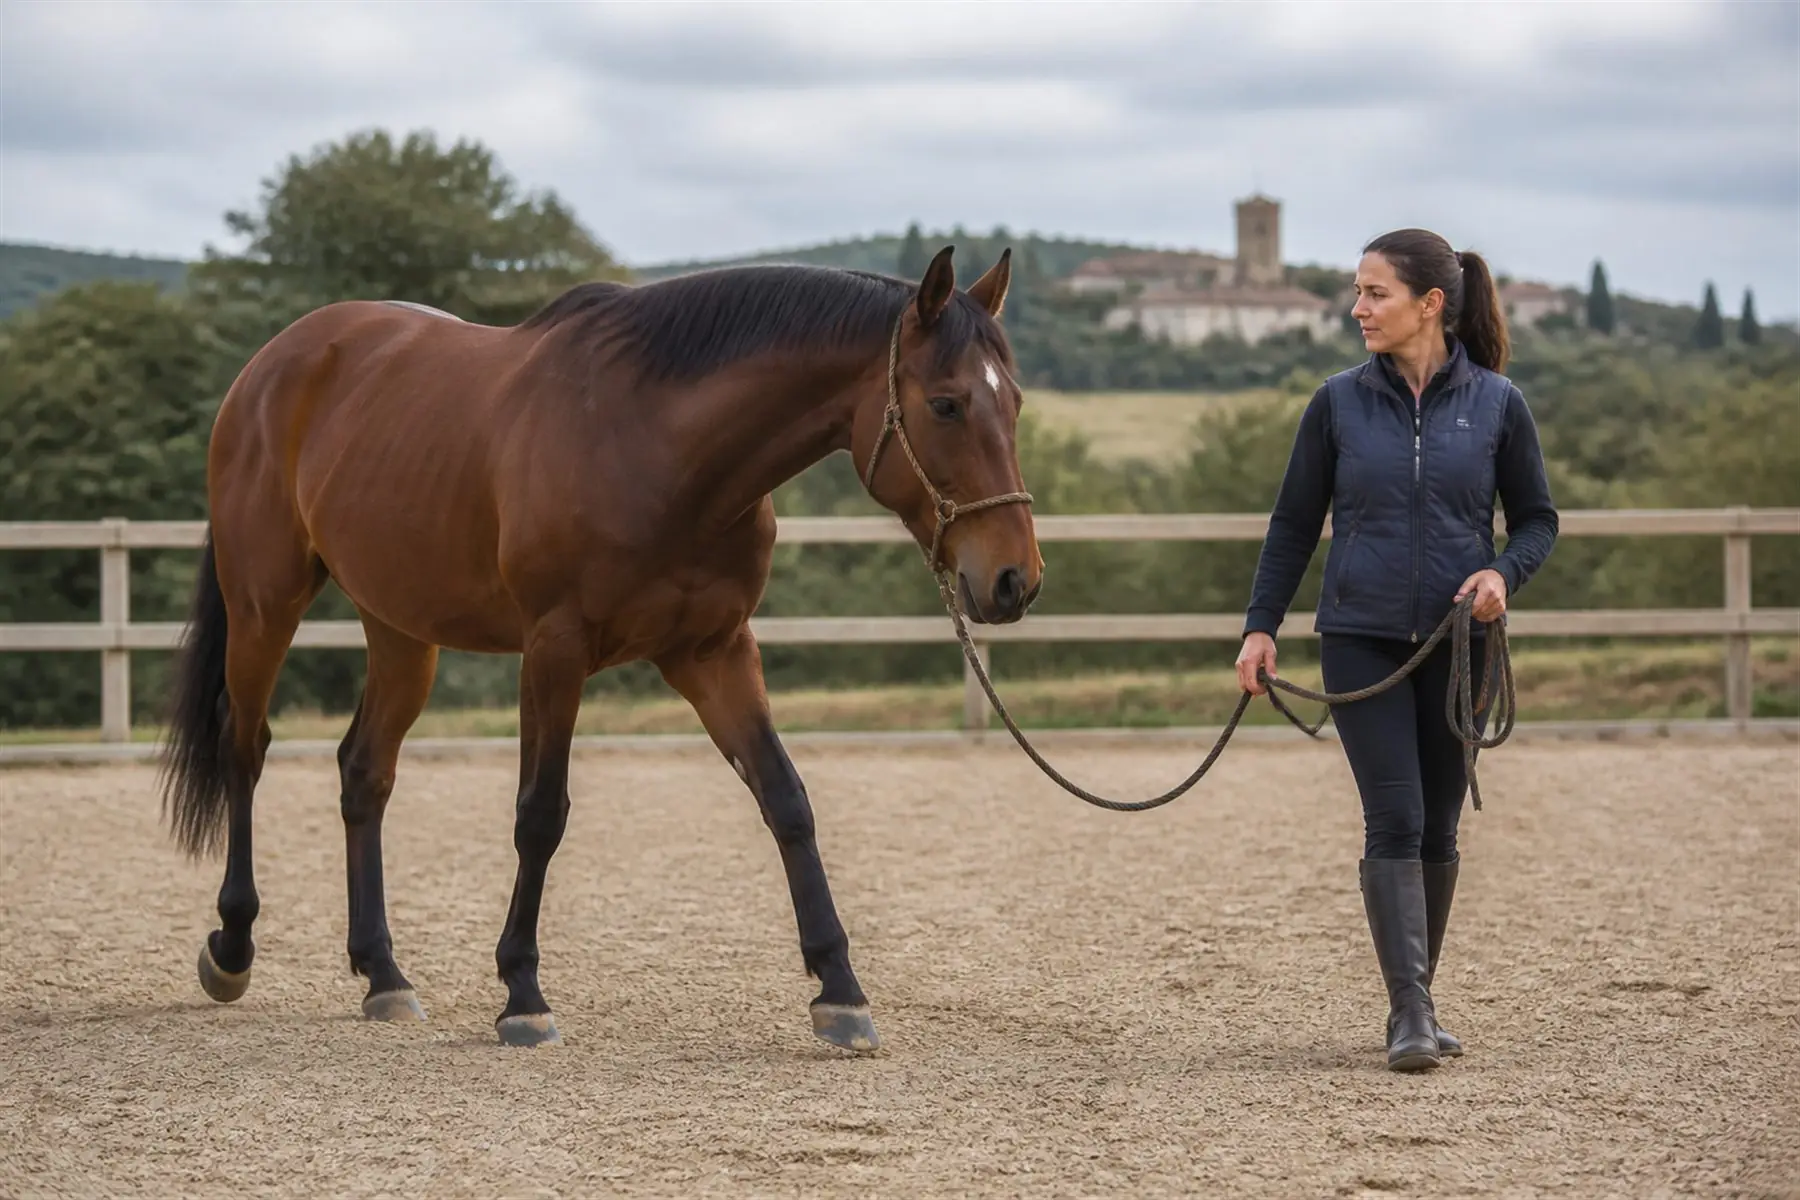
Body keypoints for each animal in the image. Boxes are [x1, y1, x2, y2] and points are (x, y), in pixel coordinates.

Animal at [156, 246, 1043, 1051]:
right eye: (947, 405)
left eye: (1015, 403)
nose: (1014, 580)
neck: (661, 447)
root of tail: (275, 363)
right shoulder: (554, 651)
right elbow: (540, 814)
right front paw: (521, 994)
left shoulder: (716, 652)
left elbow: (787, 801)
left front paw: (840, 990)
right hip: (265, 605)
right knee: (244, 749)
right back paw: (232, 947)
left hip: (400, 629)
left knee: (364, 772)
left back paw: (384, 976)